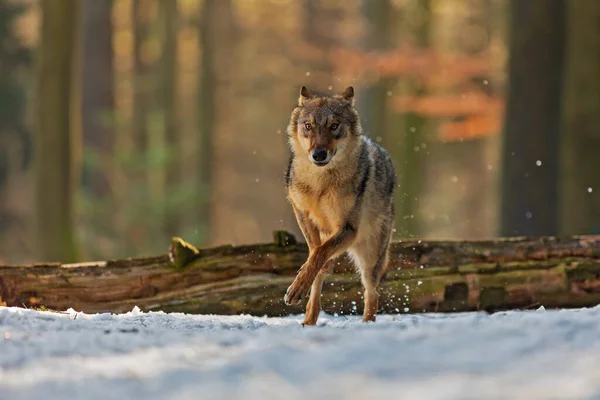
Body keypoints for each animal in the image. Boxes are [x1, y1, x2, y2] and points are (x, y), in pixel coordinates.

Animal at [282, 85, 396, 324]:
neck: (320, 183)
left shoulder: (348, 229)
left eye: (334, 126)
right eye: (308, 126)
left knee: (372, 293)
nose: (318, 154)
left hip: (370, 258)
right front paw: (301, 284)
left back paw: (366, 325)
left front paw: (300, 284)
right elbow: (315, 251)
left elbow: (320, 252)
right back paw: (308, 321)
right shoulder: (301, 212)